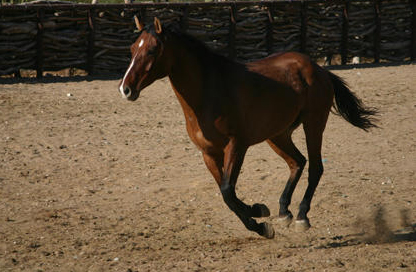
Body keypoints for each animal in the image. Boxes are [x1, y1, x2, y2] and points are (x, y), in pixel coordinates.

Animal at [118, 16, 376, 238]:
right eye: (131, 49)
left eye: (152, 49)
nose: (125, 89)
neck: (209, 93)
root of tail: (319, 69)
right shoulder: (208, 154)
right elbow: (227, 195)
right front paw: (260, 220)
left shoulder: (236, 146)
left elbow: (228, 191)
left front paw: (259, 214)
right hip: (278, 135)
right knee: (297, 162)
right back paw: (284, 211)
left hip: (314, 124)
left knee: (315, 167)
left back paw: (302, 216)